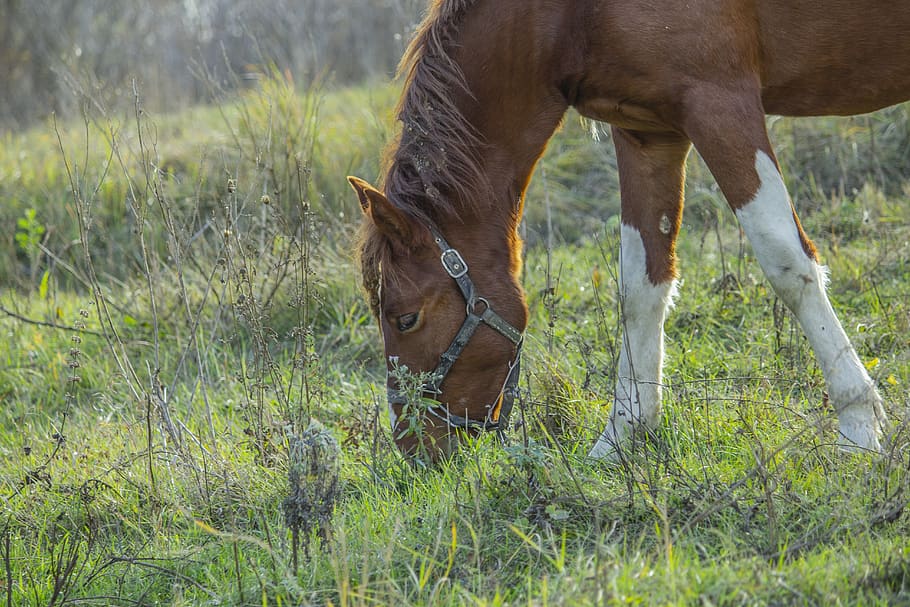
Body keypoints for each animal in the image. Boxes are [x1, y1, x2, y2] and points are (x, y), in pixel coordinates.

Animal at [349, 0, 910, 462]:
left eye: (405, 319)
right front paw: (623, 434)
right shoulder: (648, 132)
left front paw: (858, 425)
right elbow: (642, 286)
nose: (414, 448)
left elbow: (786, 261)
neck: (571, 15)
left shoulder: (721, 103)